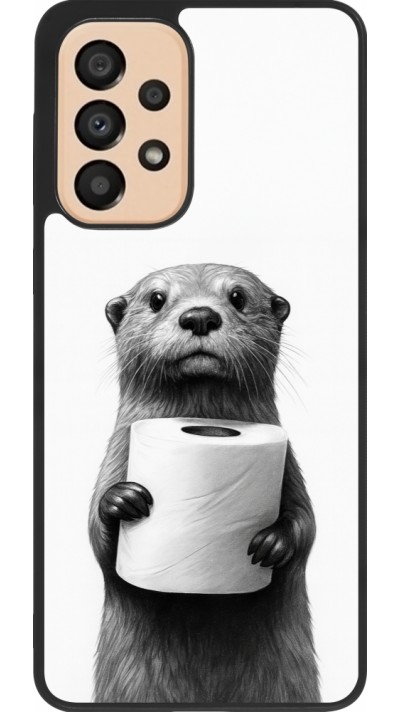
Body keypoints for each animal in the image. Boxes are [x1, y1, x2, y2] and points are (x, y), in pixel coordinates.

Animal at [89, 263, 319, 703]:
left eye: (238, 297)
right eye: (156, 299)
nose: (199, 316)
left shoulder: (290, 469)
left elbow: (307, 525)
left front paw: (273, 542)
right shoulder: (115, 458)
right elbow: (96, 537)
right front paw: (122, 501)